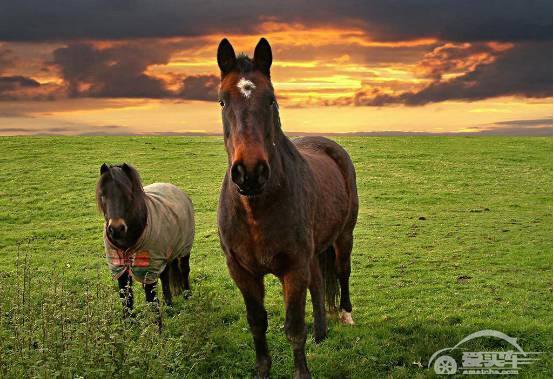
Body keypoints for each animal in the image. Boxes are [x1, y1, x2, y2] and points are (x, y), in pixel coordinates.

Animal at [96, 163, 194, 324]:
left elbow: (151, 300)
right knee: (165, 277)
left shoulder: (149, 269)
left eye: (128, 195)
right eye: (103, 195)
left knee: (184, 270)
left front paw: (156, 327)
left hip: (184, 249)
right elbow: (125, 296)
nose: (116, 229)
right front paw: (128, 324)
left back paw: (187, 295)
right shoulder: (119, 267)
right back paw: (169, 304)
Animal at [216, 37, 358, 378]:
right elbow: (257, 324)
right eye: (222, 102)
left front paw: (301, 372)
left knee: (342, 272)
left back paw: (345, 314)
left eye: (270, 99)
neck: (257, 209)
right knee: (319, 282)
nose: (250, 172)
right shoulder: (241, 272)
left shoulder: (293, 268)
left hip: (344, 235)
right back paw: (321, 333)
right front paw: (262, 370)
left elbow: (294, 328)